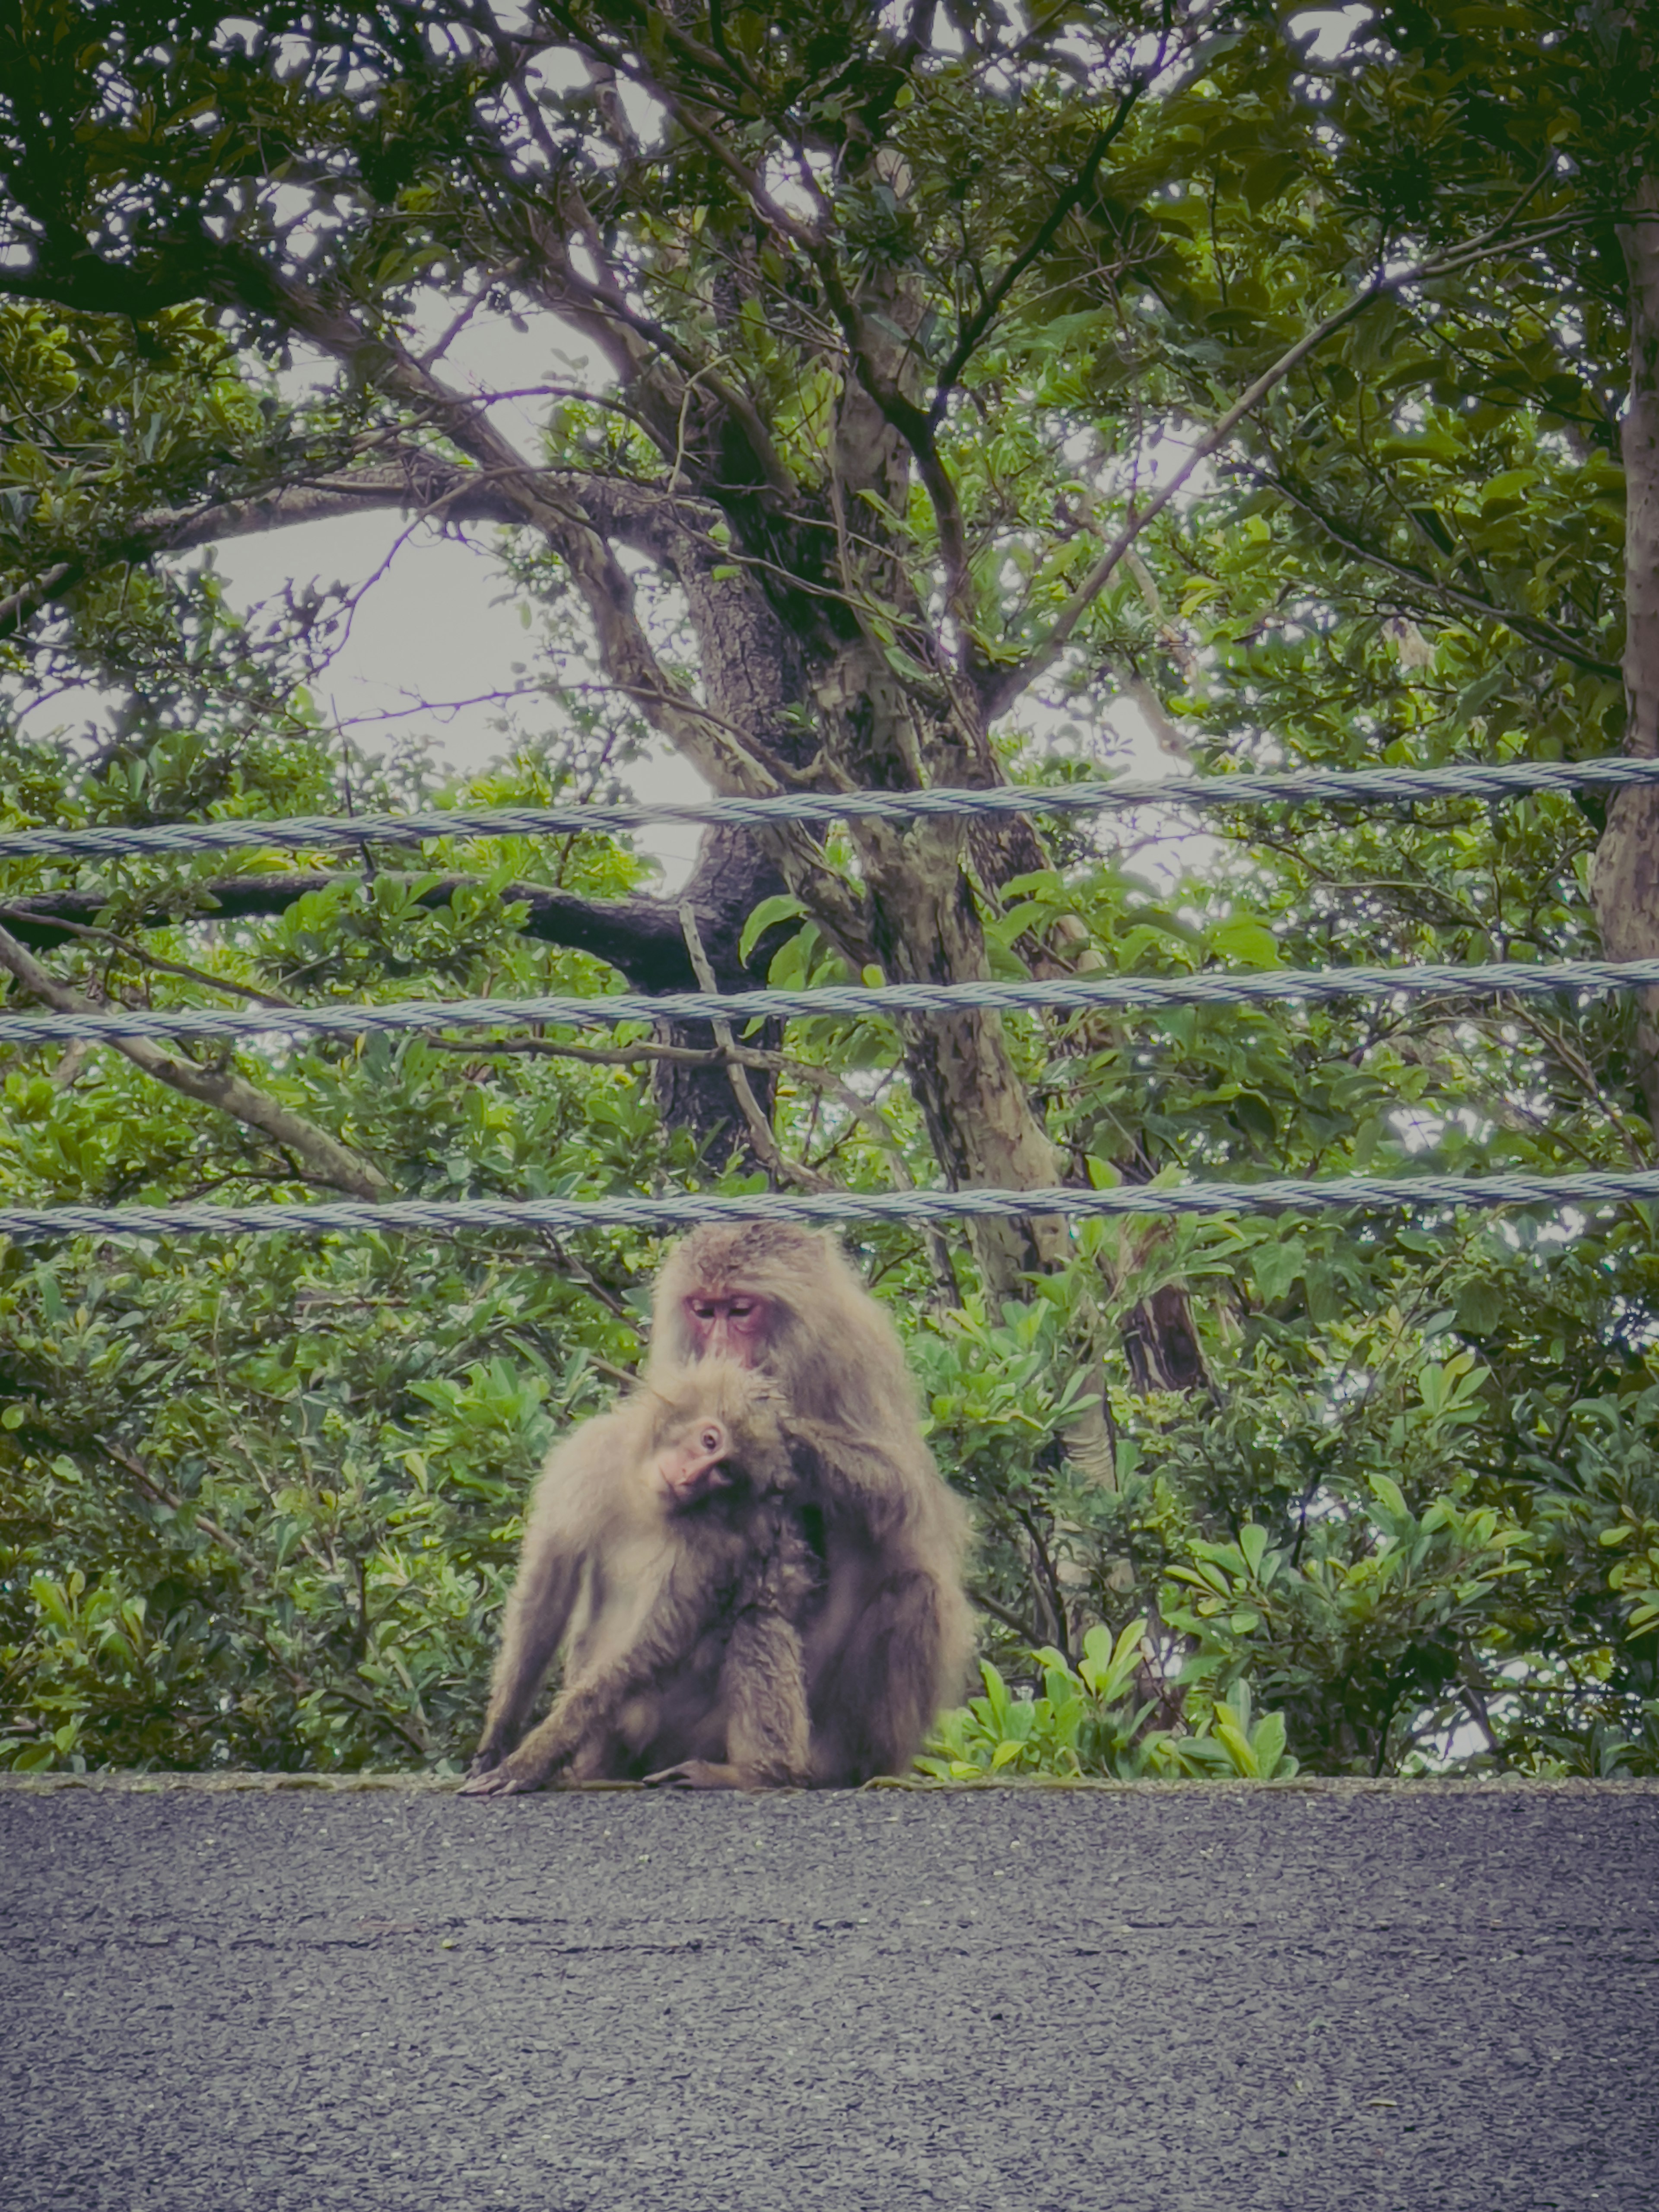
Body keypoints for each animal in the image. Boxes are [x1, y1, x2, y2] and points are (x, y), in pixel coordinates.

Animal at [641, 1221, 969, 1787]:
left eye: (740, 1310)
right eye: (704, 1311)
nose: (719, 1350)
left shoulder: (855, 1352)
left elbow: (902, 1490)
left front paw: (787, 1437)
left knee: (916, 1589)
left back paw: (839, 1764)